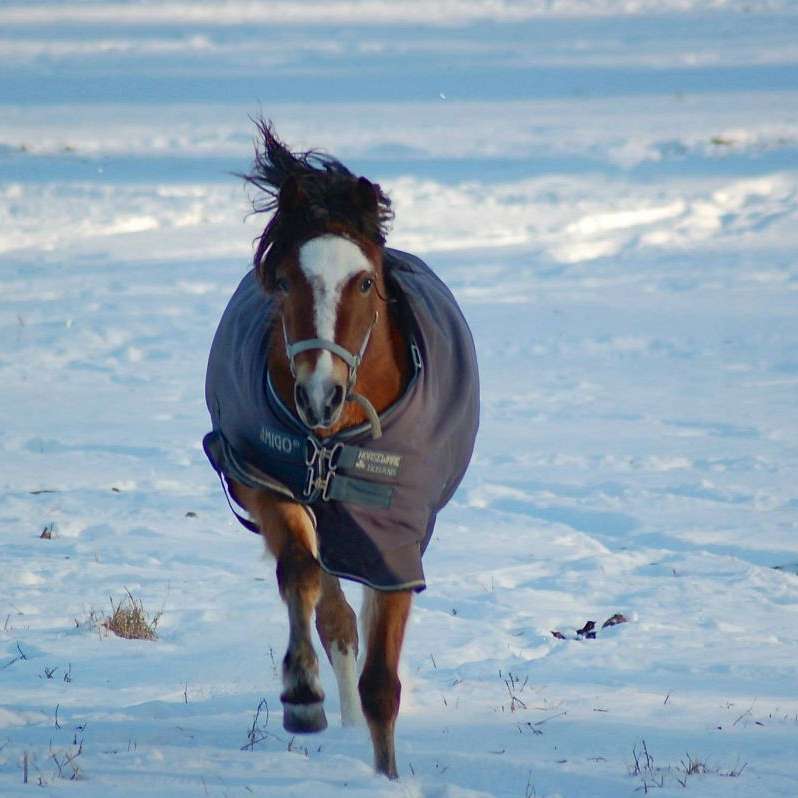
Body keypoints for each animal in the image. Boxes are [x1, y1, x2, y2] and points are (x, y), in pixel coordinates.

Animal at [206, 122, 482, 780]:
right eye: (284, 281)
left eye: (364, 281)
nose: (319, 395)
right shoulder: (266, 482)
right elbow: (303, 577)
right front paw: (301, 695)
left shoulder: (393, 539)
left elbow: (383, 680)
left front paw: (387, 777)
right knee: (331, 609)